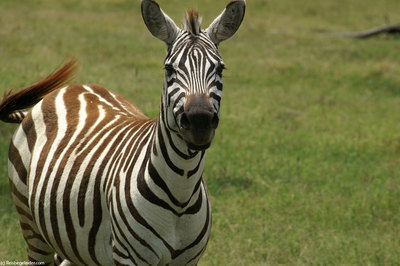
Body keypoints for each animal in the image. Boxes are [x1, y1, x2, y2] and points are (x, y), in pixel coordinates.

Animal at [0, 0, 245, 264]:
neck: (181, 190)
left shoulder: (189, 260)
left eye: (220, 69)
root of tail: (71, 88)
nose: (200, 121)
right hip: (30, 223)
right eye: (169, 69)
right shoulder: (128, 256)